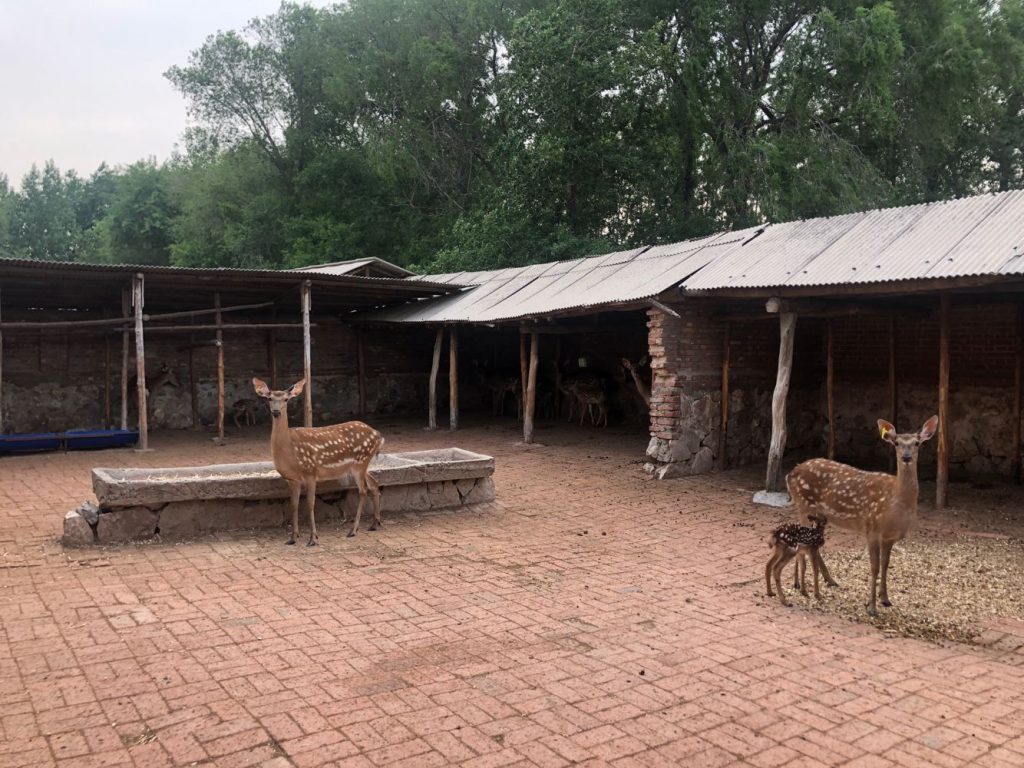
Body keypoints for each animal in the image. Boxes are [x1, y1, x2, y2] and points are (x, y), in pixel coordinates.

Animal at [253, 376, 385, 544]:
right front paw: (293, 537)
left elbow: (310, 504)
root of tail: (378, 435)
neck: (289, 449)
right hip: (362, 465)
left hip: (359, 463)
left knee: (362, 491)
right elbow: (294, 505)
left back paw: (353, 530)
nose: (276, 411)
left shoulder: (311, 471)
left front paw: (313, 538)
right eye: (269, 398)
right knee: (374, 483)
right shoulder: (292, 479)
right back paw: (374, 524)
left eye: (286, 399)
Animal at [786, 415, 937, 618]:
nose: (906, 457)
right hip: (804, 505)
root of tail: (789, 474)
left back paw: (820, 581)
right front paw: (872, 608)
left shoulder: (889, 537)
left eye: (917, 443)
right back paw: (806, 588)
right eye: (896, 443)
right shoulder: (872, 527)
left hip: (816, 514)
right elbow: (874, 567)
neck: (895, 502)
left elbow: (886, 564)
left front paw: (885, 599)